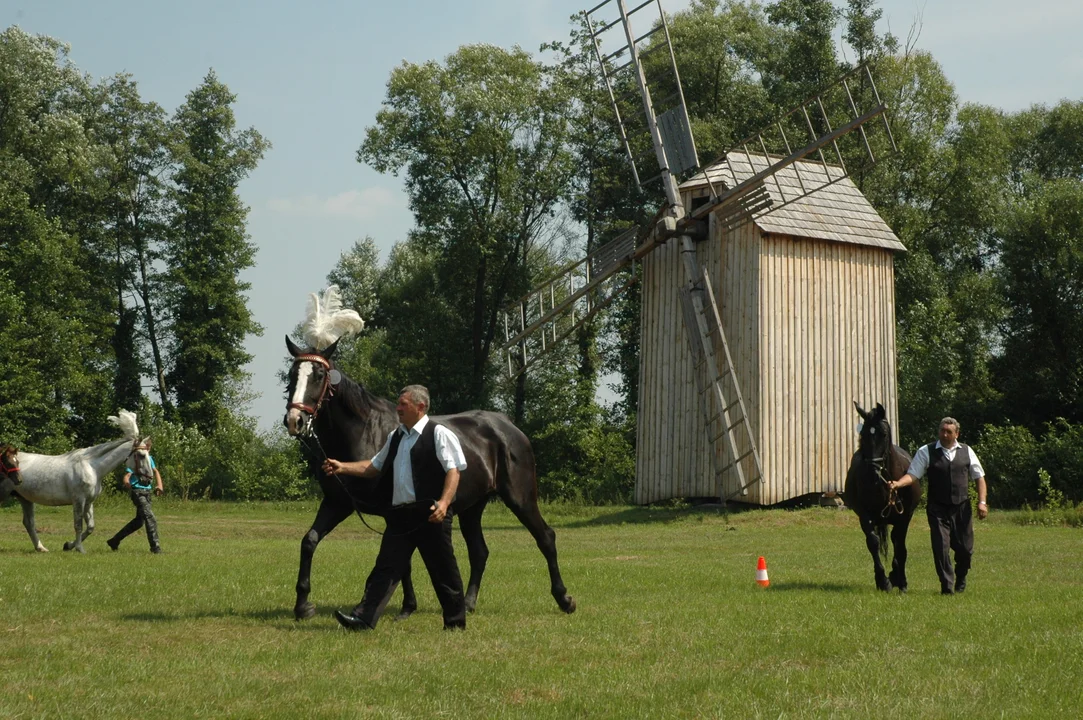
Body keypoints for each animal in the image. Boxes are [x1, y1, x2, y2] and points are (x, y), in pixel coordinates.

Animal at [2, 409, 151, 550]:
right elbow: (78, 525)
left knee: (29, 523)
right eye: (141, 455)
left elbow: (90, 527)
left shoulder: (88, 502)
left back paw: (41, 548)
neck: (91, 467)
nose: (148, 479)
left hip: (25, 499)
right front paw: (79, 549)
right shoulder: (79, 500)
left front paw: (68, 545)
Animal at [283, 333, 580, 619]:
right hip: (472, 508)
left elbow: (401, 559)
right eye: (292, 374)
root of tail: (507, 426)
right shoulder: (338, 503)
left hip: (521, 498)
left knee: (546, 538)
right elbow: (309, 541)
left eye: (319, 375)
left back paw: (564, 599)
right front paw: (303, 606)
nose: (294, 420)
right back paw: (468, 604)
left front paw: (407, 606)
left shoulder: (393, 511)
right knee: (479, 552)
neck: (365, 431)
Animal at [844, 398, 922, 588]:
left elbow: (900, 544)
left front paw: (900, 579)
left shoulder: (905, 516)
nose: (873, 472)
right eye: (863, 434)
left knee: (896, 540)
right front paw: (883, 580)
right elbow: (873, 542)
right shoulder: (864, 515)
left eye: (884, 434)